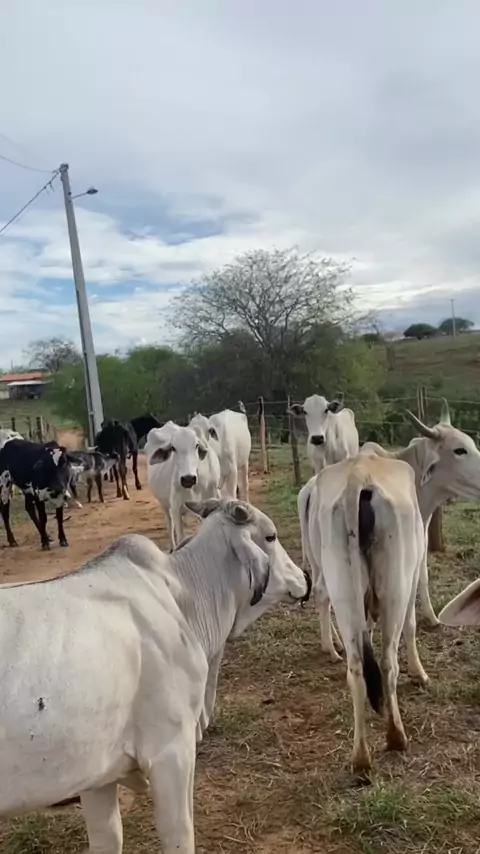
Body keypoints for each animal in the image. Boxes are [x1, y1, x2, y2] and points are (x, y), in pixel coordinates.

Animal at [0, 498, 310, 853]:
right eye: (270, 536)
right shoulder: (171, 751)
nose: (305, 577)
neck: (184, 599)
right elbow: (180, 836)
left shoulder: (95, 775)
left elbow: (108, 838)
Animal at [302, 453, 426, 773]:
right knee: (388, 662)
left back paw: (360, 758)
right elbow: (411, 625)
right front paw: (419, 673)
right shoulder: (413, 578)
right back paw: (396, 737)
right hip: (396, 588)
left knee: (356, 669)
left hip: (343, 590)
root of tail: (360, 470)